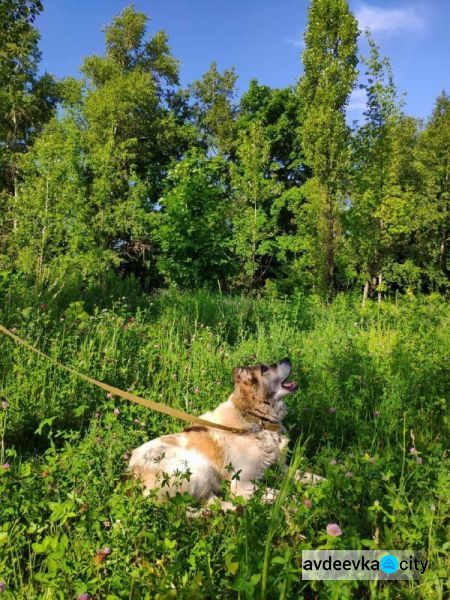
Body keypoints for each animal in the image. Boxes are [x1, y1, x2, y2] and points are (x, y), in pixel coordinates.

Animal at [128, 358, 322, 508]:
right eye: (265, 368)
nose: (288, 358)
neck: (255, 420)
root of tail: (132, 473)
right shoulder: (242, 485)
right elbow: (280, 494)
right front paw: (299, 502)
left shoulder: (282, 468)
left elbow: (309, 476)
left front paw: (327, 484)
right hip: (198, 469)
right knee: (210, 506)